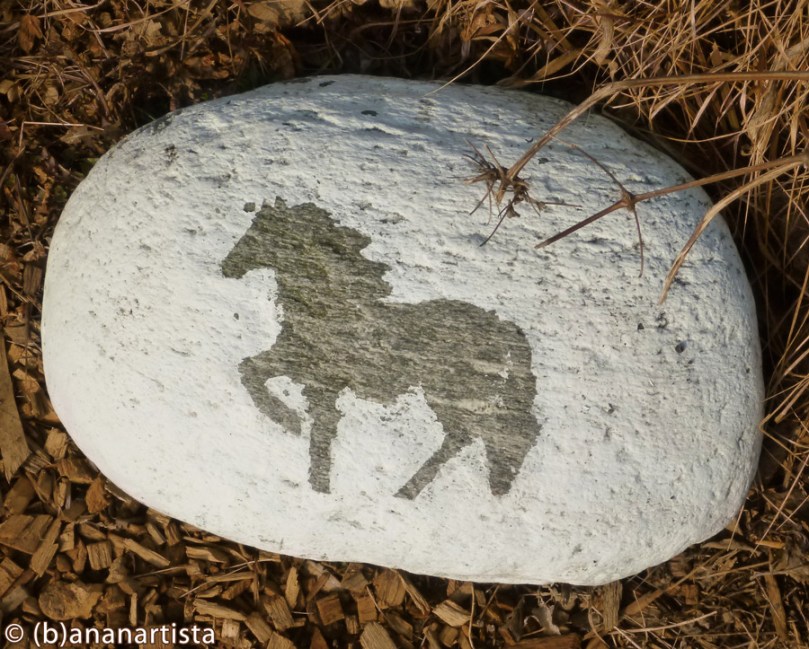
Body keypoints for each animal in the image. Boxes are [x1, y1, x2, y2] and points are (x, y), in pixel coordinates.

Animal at [221, 197, 540, 499]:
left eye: (260, 231)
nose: (228, 267)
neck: (328, 306)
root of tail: (504, 327)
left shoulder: (313, 373)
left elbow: (266, 383)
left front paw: (289, 424)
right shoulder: (308, 374)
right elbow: (257, 375)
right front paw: (306, 455)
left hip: (458, 392)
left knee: (502, 431)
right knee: (467, 435)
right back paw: (409, 491)